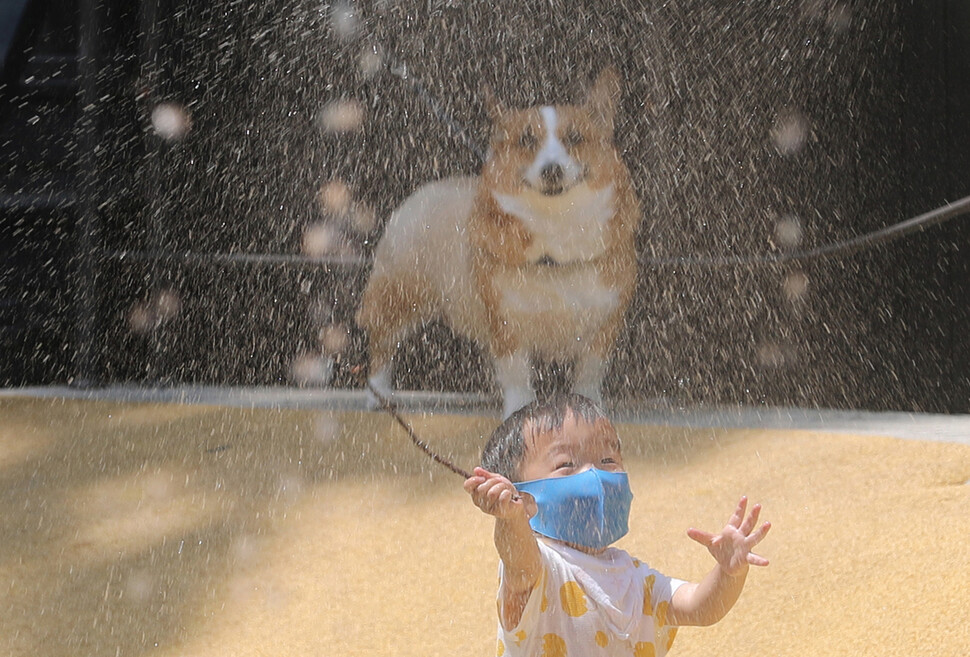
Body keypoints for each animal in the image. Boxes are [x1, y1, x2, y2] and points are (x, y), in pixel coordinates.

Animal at [358, 66, 644, 416]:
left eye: (575, 138)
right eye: (527, 139)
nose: (551, 170)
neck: (555, 226)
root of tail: (421, 192)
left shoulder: (605, 325)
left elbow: (589, 373)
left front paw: (589, 403)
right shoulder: (504, 323)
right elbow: (517, 374)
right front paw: (518, 409)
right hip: (400, 296)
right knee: (382, 345)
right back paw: (378, 395)